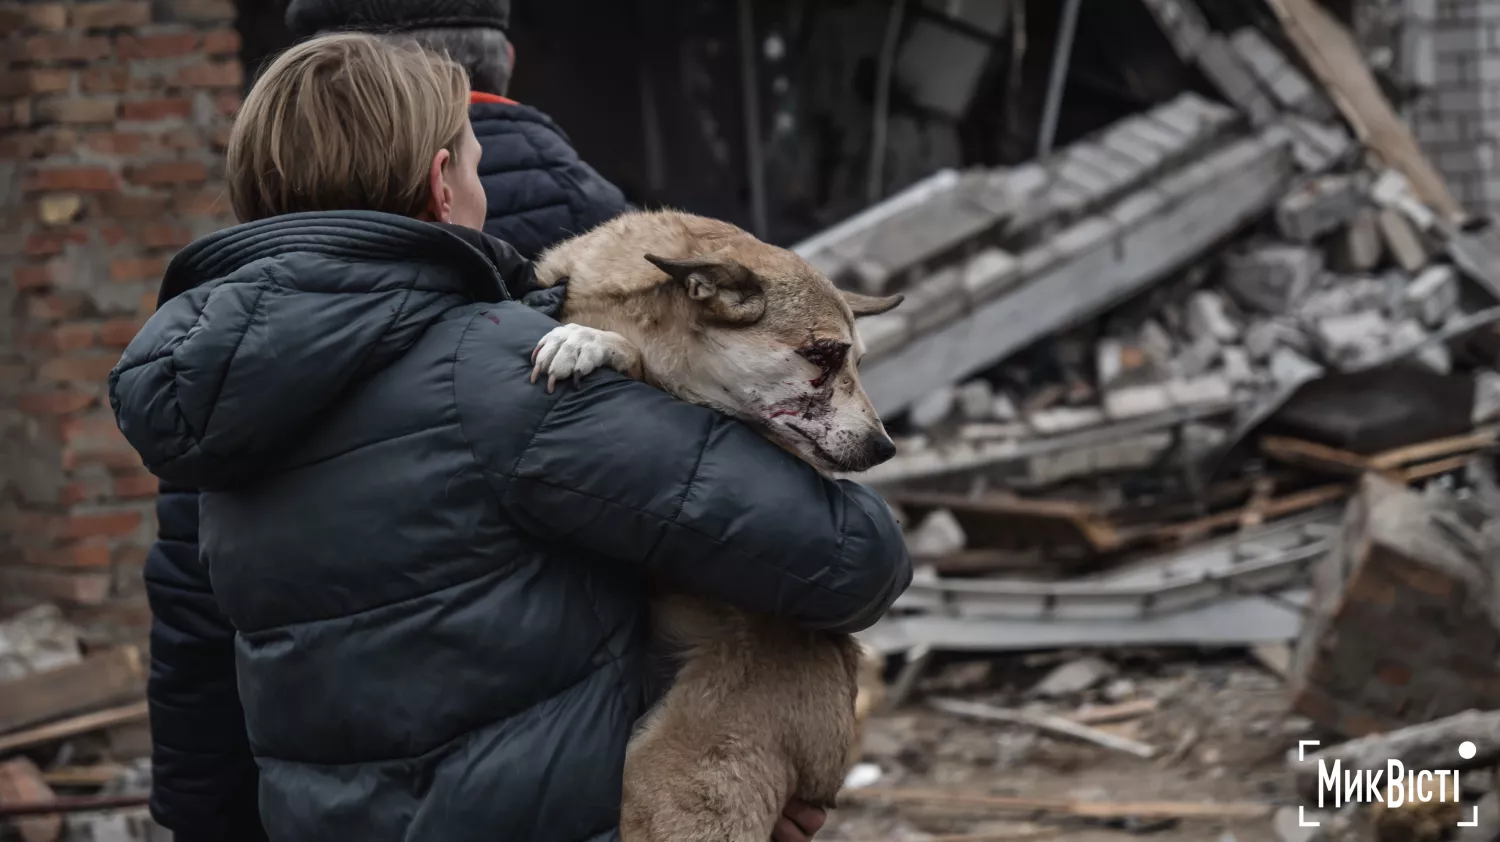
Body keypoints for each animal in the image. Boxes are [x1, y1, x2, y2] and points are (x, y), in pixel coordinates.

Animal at [531, 208, 900, 840]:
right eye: (824, 356)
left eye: (858, 361)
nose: (885, 448)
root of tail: (824, 770)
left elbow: (630, 358)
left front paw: (590, 342)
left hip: (662, 790)